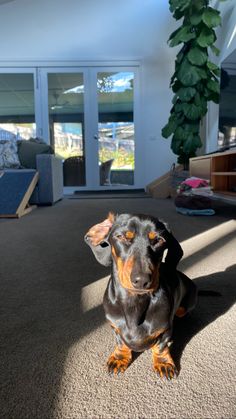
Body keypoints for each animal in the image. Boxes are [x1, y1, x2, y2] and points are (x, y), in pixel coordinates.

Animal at [85, 213, 197, 380]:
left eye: (159, 240)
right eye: (121, 236)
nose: (142, 280)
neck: (134, 302)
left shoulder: (165, 329)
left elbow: (161, 346)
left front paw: (163, 362)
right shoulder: (115, 326)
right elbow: (121, 342)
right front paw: (119, 358)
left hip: (185, 306)